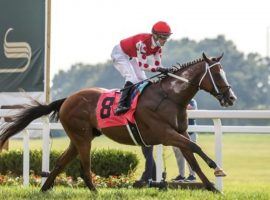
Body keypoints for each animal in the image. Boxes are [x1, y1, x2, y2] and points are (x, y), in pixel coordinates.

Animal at [0, 52, 236, 192]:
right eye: (216, 73)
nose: (231, 97)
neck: (170, 96)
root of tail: (67, 99)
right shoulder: (165, 134)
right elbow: (195, 148)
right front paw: (217, 169)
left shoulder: (181, 133)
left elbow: (192, 157)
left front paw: (212, 187)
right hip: (82, 137)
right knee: (85, 168)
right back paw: (94, 192)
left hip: (78, 137)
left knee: (60, 163)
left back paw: (44, 190)